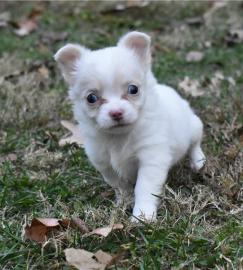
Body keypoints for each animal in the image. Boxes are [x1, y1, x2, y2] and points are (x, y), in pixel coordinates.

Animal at [54, 31, 205, 221]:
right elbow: (120, 185)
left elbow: (144, 188)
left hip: (194, 127)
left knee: (195, 144)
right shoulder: (105, 163)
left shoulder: (151, 159)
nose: (116, 112)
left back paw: (197, 161)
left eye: (133, 89)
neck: (119, 138)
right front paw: (124, 202)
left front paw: (143, 216)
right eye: (91, 98)